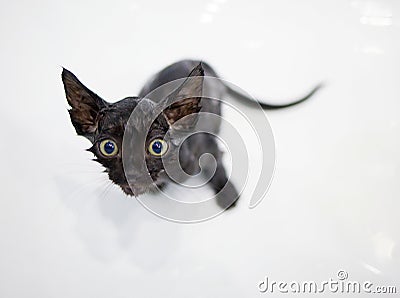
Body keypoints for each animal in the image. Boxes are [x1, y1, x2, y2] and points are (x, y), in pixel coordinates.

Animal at [61, 59, 318, 208]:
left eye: (157, 146)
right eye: (109, 147)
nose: (133, 173)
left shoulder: (208, 145)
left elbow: (216, 162)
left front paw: (227, 194)